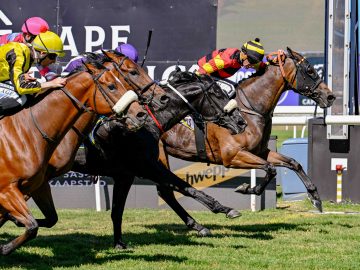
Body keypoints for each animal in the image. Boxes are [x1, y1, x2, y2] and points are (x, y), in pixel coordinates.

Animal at [0, 53, 163, 255]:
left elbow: (48, 219)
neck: (28, 129)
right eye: (133, 72)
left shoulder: (39, 183)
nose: (141, 114)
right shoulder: (13, 187)